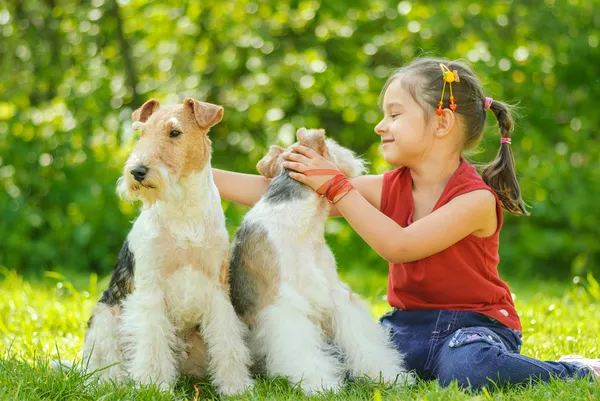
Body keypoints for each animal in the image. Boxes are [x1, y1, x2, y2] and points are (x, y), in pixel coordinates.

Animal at [81, 97, 253, 394]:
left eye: (175, 132)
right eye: (142, 133)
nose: (137, 171)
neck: (184, 210)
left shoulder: (217, 289)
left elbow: (227, 343)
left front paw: (236, 387)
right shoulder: (150, 289)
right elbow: (152, 342)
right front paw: (154, 386)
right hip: (105, 318)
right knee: (105, 367)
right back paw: (112, 385)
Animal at [230, 129, 412, 394]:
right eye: (331, 145)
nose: (356, 160)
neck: (301, 225)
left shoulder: (338, 295)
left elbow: (365, 343)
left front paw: (388, 377)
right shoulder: (285, 305)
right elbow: (303, 351)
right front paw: (321, 385)